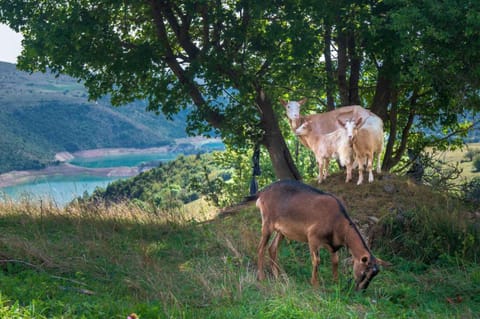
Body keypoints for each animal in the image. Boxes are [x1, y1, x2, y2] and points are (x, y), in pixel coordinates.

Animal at [255, 181, 386, 292]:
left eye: (374, 275)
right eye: (364, 273)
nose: (361, 290)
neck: (338, 222)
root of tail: (262, 193)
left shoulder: (333, 244)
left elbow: (335, 261)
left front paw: (336, 282)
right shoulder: (312, 237)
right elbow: (316, 260)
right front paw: (315, 284)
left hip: (281, 230)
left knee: (272, 248)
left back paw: (278, 277)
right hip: (267, 223)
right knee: (261, 248)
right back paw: (262, 277)